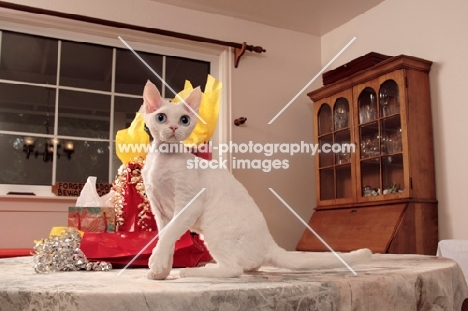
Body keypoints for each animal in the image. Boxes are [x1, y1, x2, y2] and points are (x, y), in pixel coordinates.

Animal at [141, 80, 372, 280]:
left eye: (184, 120)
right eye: (161, 118)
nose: (173, 128)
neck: (162, 160)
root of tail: (270, 244)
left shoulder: (188, 203)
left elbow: (169, 235)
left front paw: (157, 264)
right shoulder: (160, 210)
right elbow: (166, 237)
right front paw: (161, 271)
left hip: (215, 229)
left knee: (234, 270)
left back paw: (193, 271)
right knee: (249, 266)